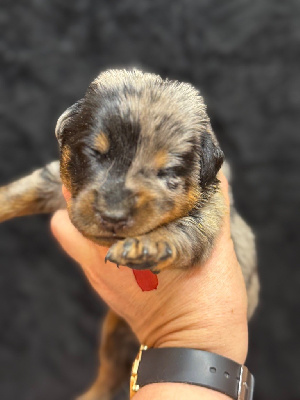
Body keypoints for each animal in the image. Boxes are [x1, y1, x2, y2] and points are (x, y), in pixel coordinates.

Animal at [0, 69, 258, 400]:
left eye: (167, 172)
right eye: (94, 153)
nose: (113, 215)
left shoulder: (210, 214)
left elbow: (181, 230)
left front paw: (146, 247)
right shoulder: (57, 184)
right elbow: (24, 188)